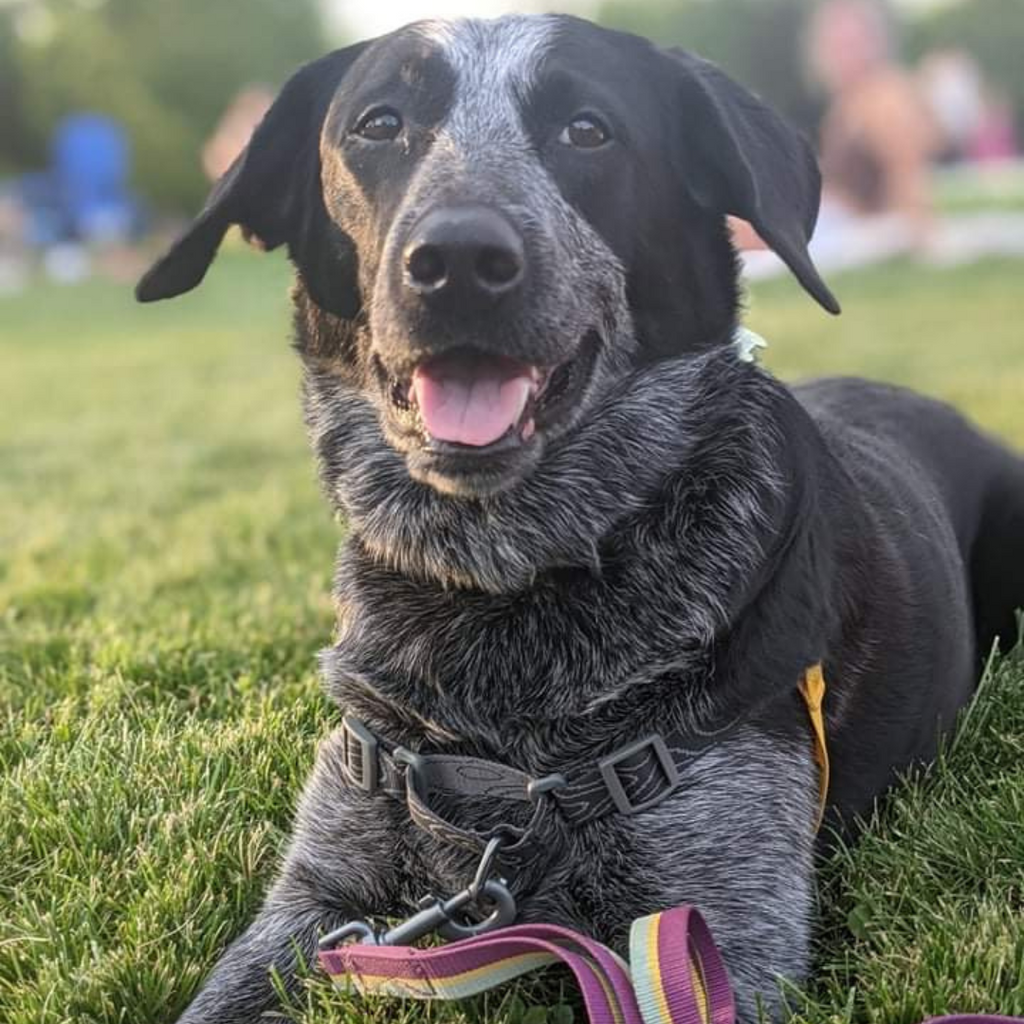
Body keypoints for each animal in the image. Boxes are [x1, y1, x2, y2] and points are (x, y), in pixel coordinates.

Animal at [136, 12, 1024, 1019]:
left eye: (588, 130)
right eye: (379, 123)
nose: (459, 261)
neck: (501, 592)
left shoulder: (723, 927)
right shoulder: (318, 898)